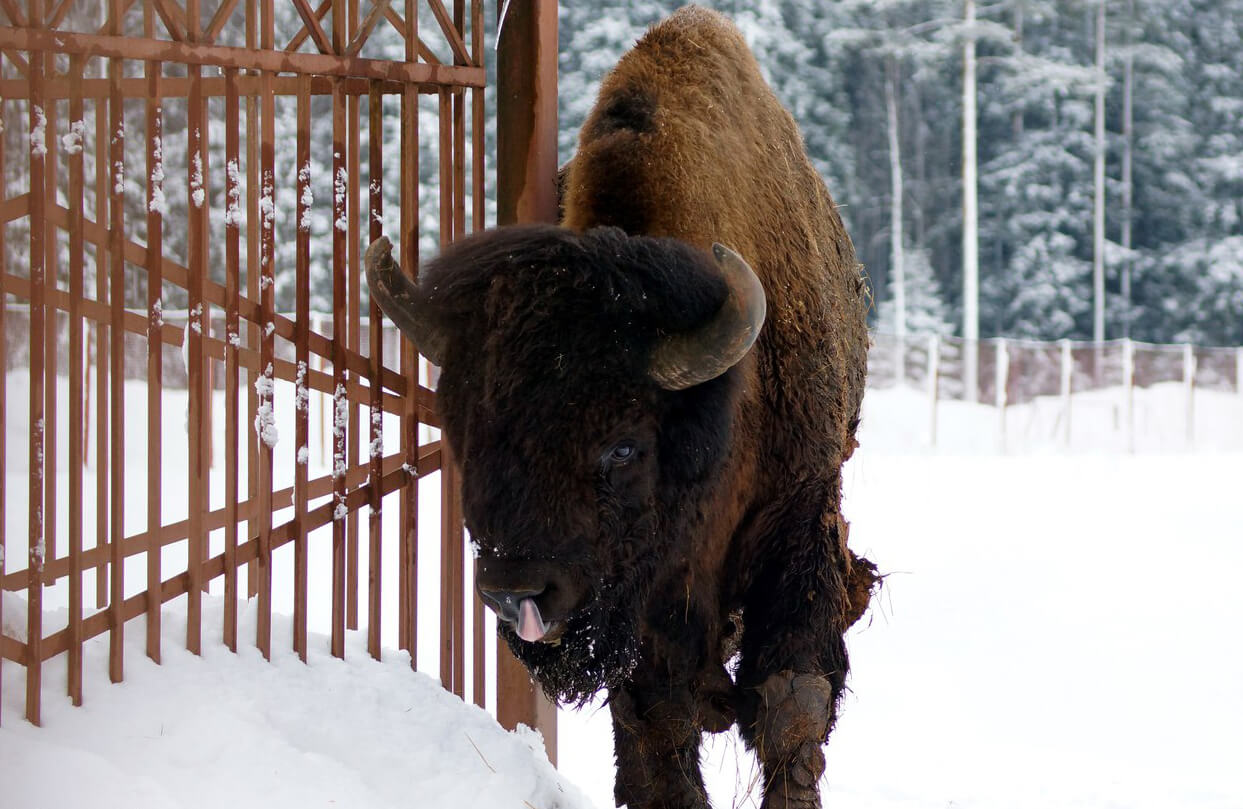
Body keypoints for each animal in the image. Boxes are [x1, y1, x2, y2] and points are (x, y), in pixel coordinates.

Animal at [365, 6, 875, 809]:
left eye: (623, 446)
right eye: (463, 435)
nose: (516, 594)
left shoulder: (798, 514)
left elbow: (790, 700)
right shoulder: (645, 605)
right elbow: (656, 722)